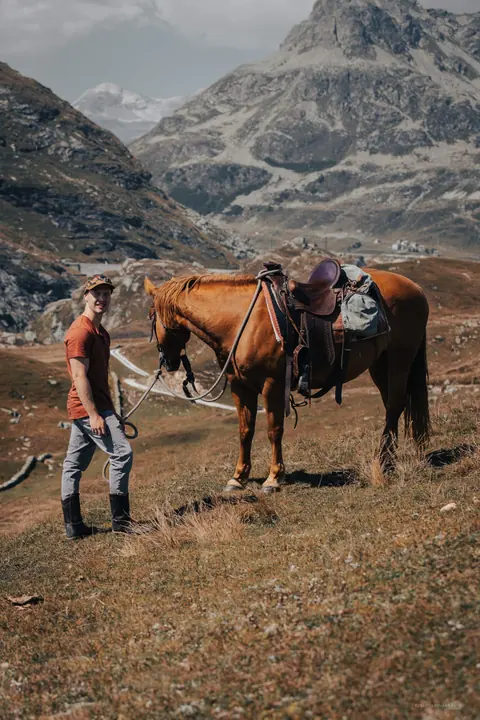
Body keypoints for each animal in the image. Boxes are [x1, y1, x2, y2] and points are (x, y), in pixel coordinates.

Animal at [144, 266, 430, 492]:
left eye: (150, 316)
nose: (167, 362)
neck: (240, 322)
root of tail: (416, 288)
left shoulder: (272, 384)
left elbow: (274, 430)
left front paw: (273, 478)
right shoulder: (240, 386)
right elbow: (245, 430)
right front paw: (238, 478)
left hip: (399, 358)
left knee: (394, 404)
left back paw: (384, 461)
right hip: (380, 364)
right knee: (394, 405)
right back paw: (387, 458)